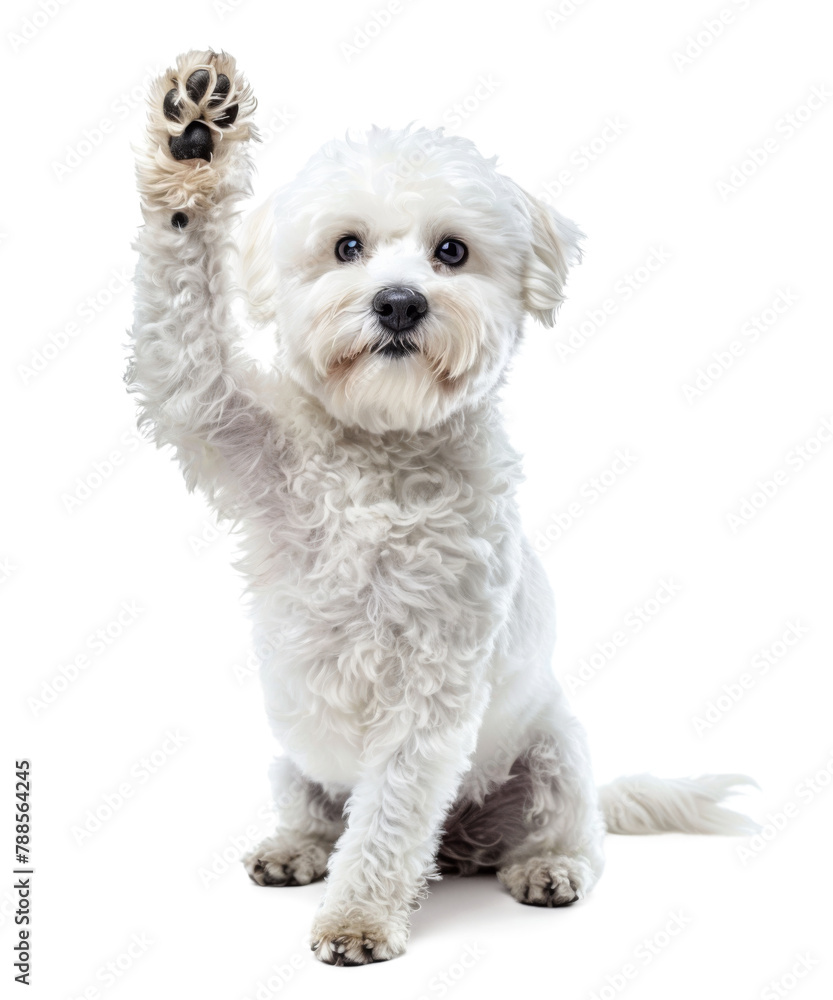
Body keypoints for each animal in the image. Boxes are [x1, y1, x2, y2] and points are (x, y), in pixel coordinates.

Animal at [128, 50, 752, 964]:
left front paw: (357, 920)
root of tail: (462, 845)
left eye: (451, 251)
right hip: (291, 757)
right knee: (318, 815)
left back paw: (544, 867)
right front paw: (194, 135)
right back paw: (296, 848)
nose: (398, 301)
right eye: (346, 246)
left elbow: (389, 817)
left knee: (566, 833)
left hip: (554, 752)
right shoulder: (215, 416)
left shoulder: (429, 689)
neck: (383, 446)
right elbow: (180, 333)